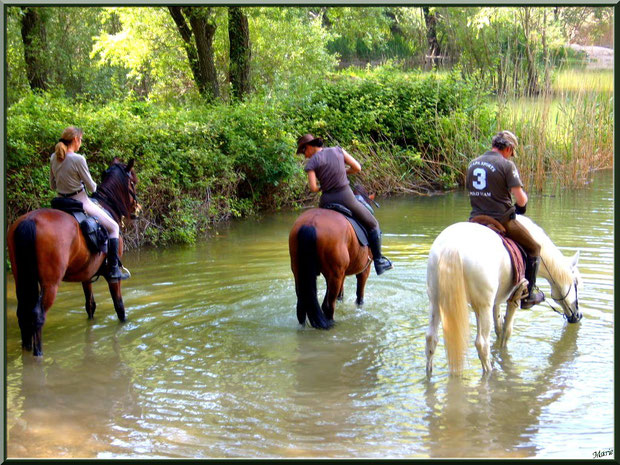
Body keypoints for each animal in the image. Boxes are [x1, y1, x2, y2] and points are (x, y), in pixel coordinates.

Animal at [7, 157, 139, 356]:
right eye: (134, 182)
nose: (136, 210)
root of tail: (29, 220)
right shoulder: (112, 277)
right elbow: (119, 306)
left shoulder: (86, 275)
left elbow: (90, 305)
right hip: (50, 284)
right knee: (37, 315)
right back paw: (38, 354)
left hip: (21, 279)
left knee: (23, 312)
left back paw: (27, 350)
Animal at [426, 216, 580, 376]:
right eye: (576, 283)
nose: (577, 316)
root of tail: (452, 247)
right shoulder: (514, 298)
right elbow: (507, 330)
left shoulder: (496, 301)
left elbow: (499, 327)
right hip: (483, 306)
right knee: (482, 344)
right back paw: (489, 372)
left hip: (436, 301)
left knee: (431, 338)